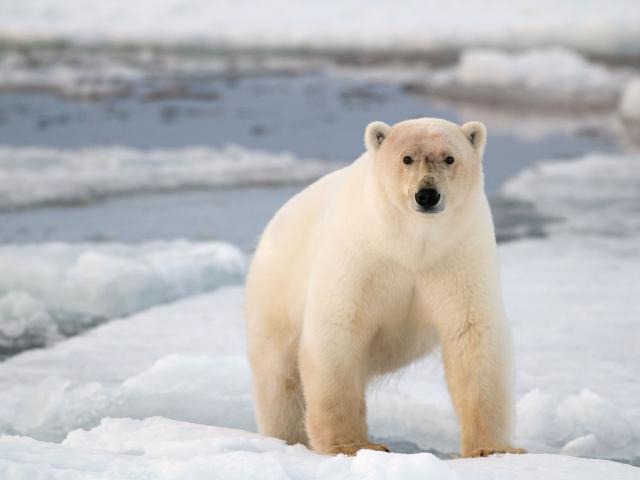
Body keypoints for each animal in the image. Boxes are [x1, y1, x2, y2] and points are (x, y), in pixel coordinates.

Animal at [245, 117, 524, 458]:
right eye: (407, 158)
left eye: (449, 158)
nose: (427, 195)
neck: (411, 243)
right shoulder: (361, 255)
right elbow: (339, 331)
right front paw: (352, 445)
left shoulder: (456, 254)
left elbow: (472, 333)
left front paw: (492, 450)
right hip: (275, 296)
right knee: (279, 380)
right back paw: (288, 438)